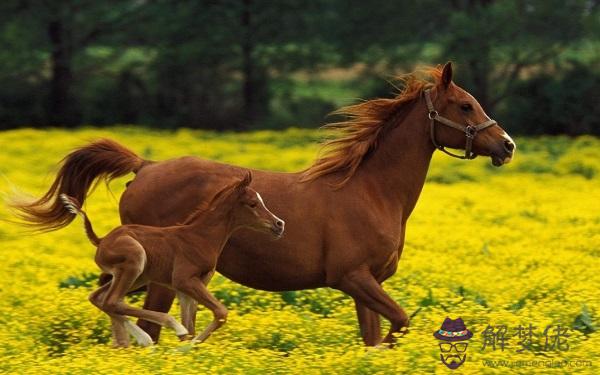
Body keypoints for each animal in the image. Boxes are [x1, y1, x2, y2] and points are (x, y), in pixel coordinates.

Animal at [59, 172, 284, 348]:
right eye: (253, 203)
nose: (279, 224)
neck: (201, 237)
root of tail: (102, 240)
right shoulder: (183, 280)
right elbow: (220, 312)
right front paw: (185, 346)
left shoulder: (189, 286)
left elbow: (192, 324)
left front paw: (186, 349)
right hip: (135, 260)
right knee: (112, 300)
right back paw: (158, 333)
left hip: (137, 276)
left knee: (100, 298)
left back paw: (134, 340)